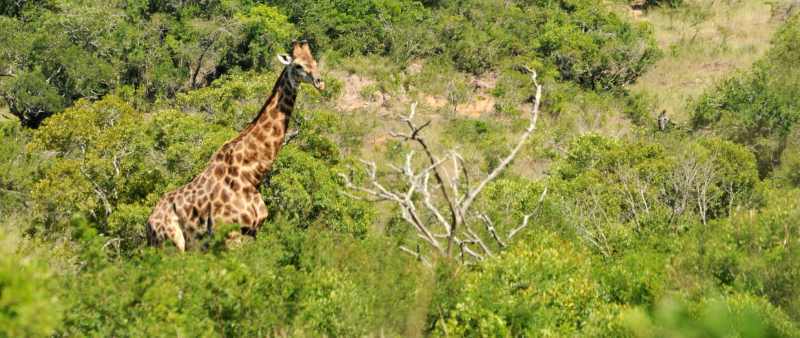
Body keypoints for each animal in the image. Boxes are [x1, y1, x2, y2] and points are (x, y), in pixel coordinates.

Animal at [147, 40, 324, 251]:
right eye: (298, 65)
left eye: (314, 61)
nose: (320, 82)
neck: (251, 175)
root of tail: (148, 224)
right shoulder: (230, 235)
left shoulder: (252, 232)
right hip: (171, 244)